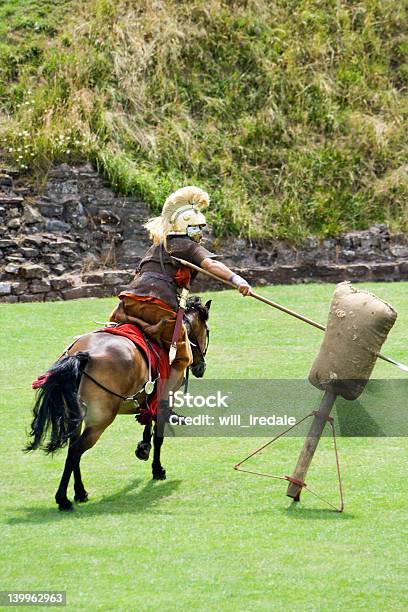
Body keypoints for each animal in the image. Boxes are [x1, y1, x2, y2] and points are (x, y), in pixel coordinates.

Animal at [26, 296, 210, 512]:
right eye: (207, 331)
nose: (201, 367)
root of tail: (83, 355)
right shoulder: (163, 398)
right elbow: (158, 435)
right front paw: (157, 468)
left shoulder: (147, 399)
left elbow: (147, 419)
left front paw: (143, 448)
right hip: (100, 421)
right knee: (75, 450)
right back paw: (63, 499)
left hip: (76, 417)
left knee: (74, 449)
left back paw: (80, 492)